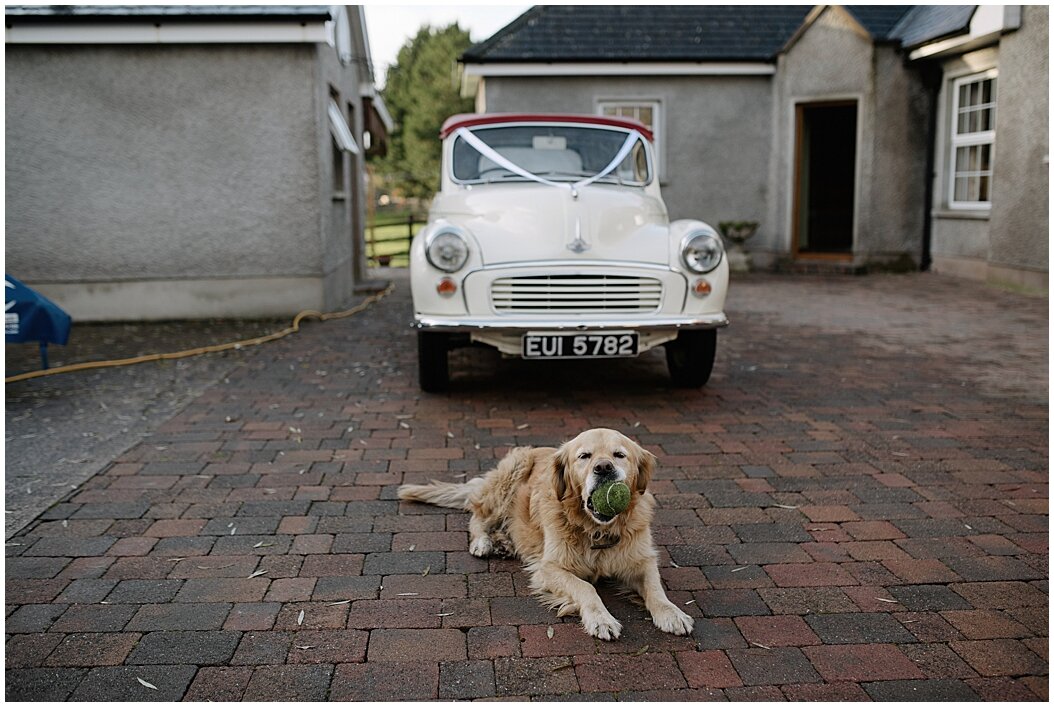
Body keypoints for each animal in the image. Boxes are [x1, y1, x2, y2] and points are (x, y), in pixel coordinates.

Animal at [396, 425, 691, 640]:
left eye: (620, 455)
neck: (596, 529)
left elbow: (656, 588)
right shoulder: (549, 567)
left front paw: (672, 613)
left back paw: (504, 542)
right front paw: (600, 619)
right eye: (584, 456)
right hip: (513, 472)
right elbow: (585, 587)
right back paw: (483, 542)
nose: (604, 468)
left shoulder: (642, 560)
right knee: (478, 515)